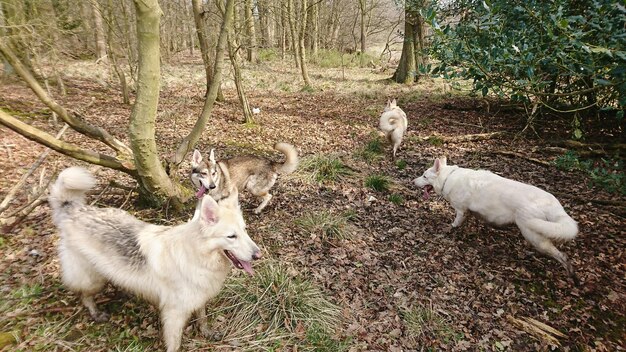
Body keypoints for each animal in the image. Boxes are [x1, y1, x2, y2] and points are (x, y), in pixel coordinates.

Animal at [49, 166, 260, 350]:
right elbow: (175, 343)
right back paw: (96, 313)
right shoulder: (174, 314)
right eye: (231, 236)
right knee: (85, 296)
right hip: (93, 279)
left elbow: (202, 318)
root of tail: (73, 210)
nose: (258, 255)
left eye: (244, 231)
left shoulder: (199, 298)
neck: (196, 253)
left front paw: (206, 332)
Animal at [412, 158, 576, 282]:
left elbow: (455, 224)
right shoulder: (470, 212)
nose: (413, 181)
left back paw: (571, 274)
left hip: (532, 234)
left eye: (424, 176)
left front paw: (450, 229)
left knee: (562, 256)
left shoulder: (460, 211)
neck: (448, 178)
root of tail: (551, 203)